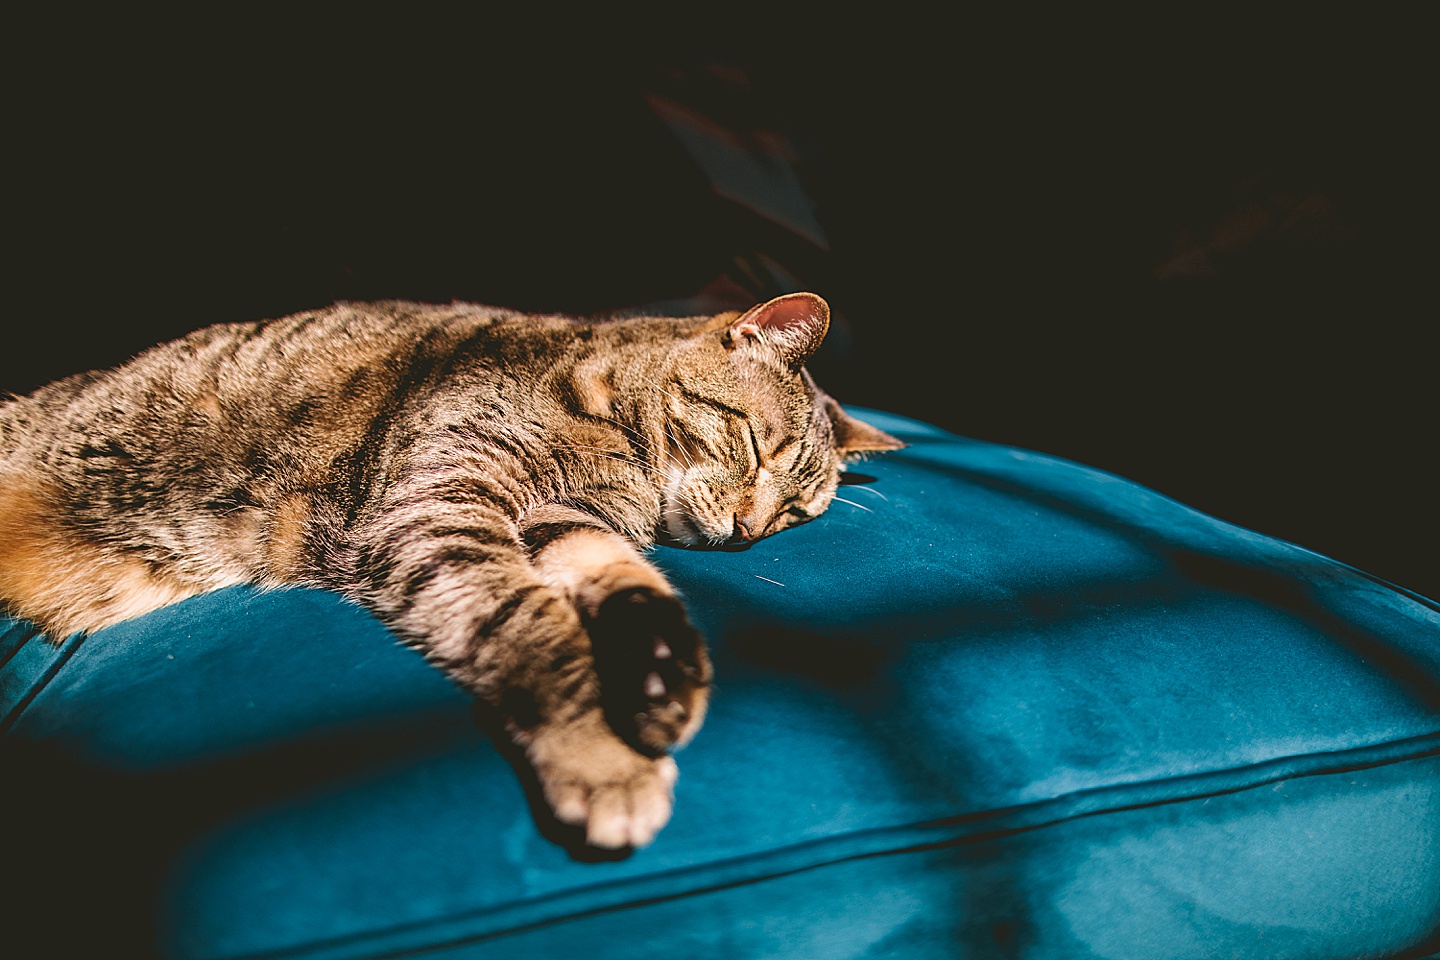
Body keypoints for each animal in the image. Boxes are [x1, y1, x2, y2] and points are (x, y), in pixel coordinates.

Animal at [0, 290, 898, 846]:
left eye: (793, 515)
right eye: (754, 445)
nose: (748, 532)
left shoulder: (557, 523)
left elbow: (619, 579)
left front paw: (660, 673)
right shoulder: (439, 506)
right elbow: (532, 628)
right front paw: (603, 758)